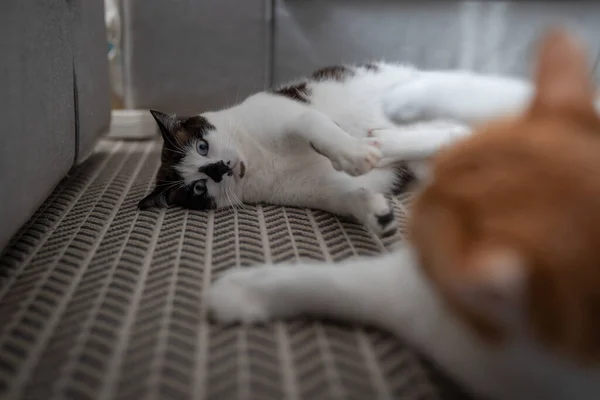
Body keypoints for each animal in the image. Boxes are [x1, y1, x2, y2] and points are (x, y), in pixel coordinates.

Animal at [137, 61, 528, 238]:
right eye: (198, 187)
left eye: (203, 147)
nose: (220, 168)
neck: (259, 160)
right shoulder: (319, 188)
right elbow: (346, 196)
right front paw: (376, 214)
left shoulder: (290, 115)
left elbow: (315, 126)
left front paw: (355, 154)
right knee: (452, 138)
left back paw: (377, 140)